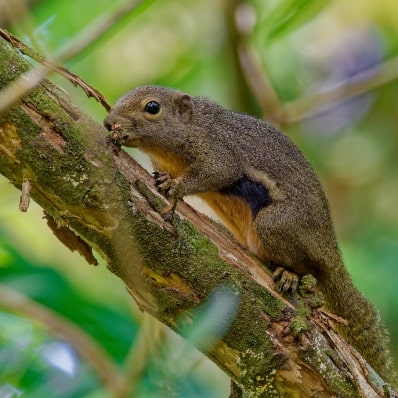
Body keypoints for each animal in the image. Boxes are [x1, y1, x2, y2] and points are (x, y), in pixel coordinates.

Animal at [104, 85, 396, 384]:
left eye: (152, 107)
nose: (108, 122)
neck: (190, 127)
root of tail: (330, 252)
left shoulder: (220, 150)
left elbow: (218, 172)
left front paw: (175, 186)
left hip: (274, 225)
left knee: (306, 265)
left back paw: (290, 274)